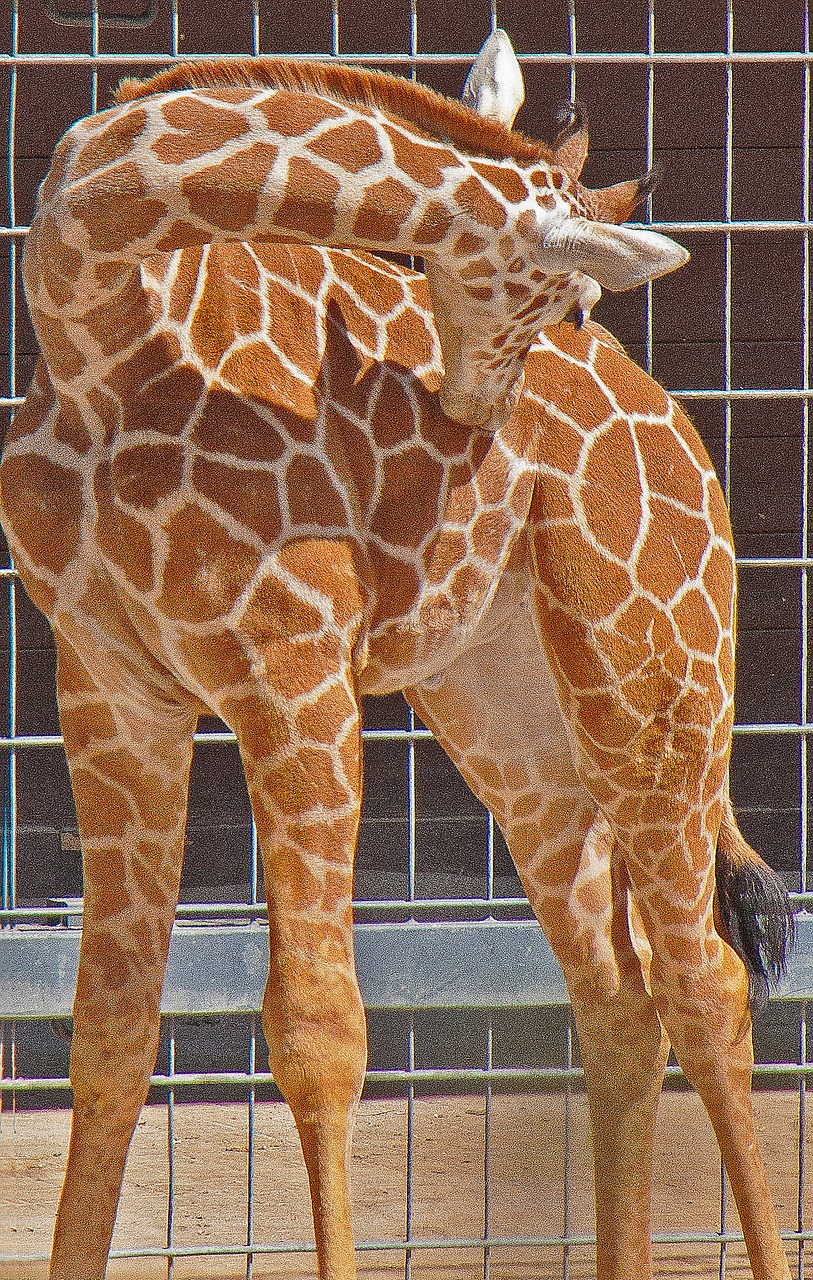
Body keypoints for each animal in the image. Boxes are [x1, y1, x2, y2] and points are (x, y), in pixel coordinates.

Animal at [0, 27, 793, 1280]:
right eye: (570, 297)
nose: (480, 418)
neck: (97, 314)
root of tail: (679, 427)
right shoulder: (110, 685)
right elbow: (111, 1030)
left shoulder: (295, 669)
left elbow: (320, 1030)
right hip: (511, 717)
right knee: (615, 988)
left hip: (662, 680)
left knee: (705, 978)